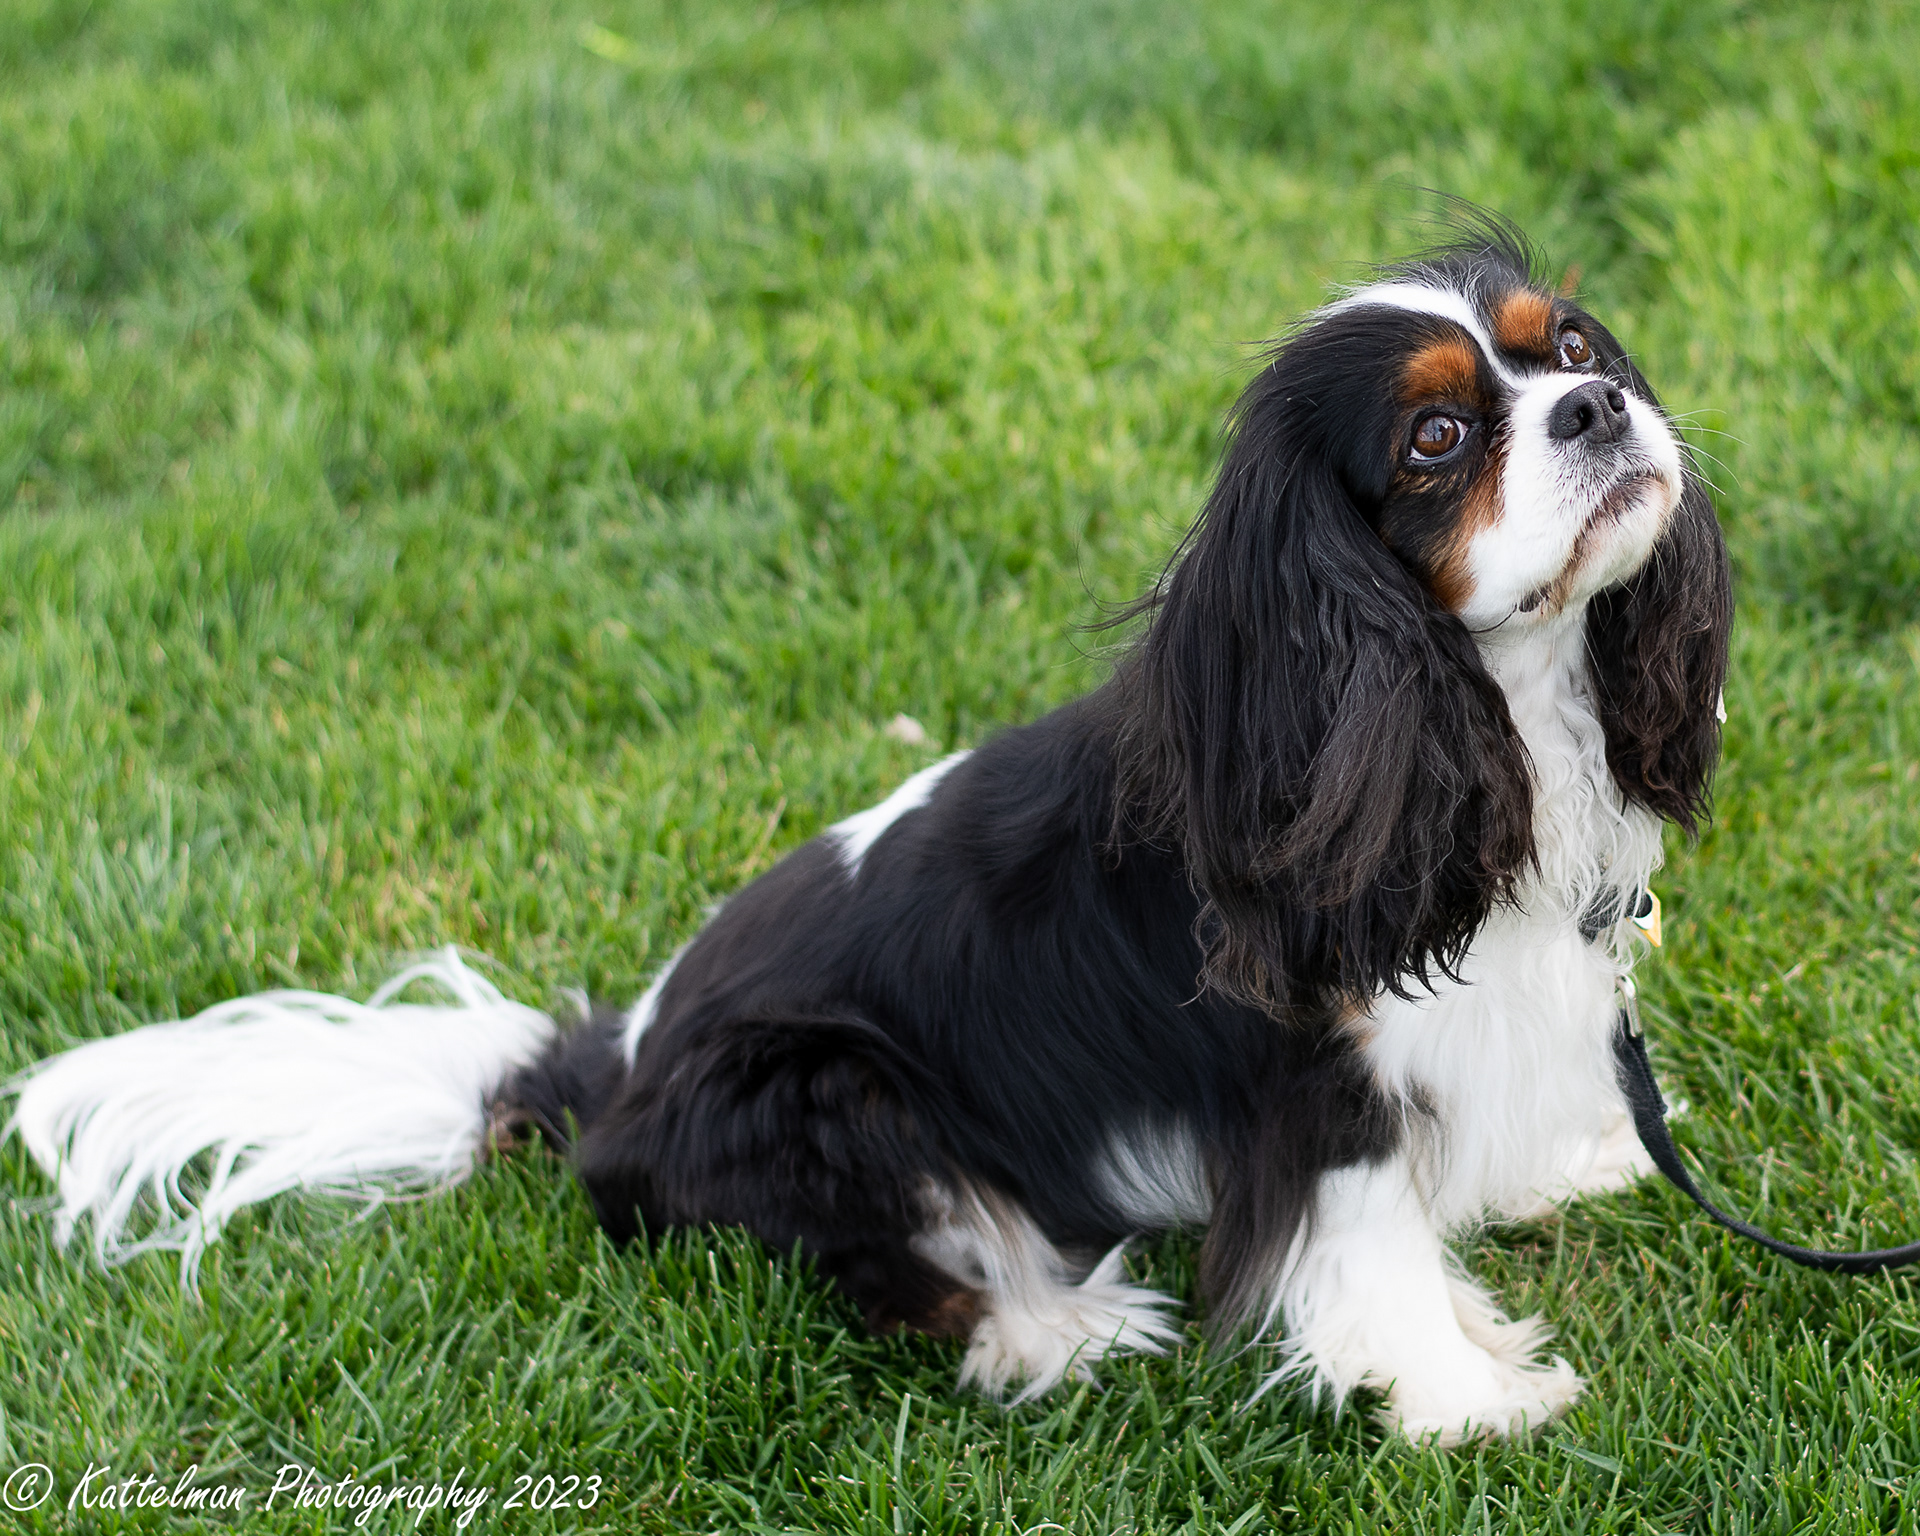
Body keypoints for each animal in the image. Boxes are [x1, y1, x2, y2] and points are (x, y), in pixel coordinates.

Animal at [8, 225, 1730, 1445]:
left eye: (1575, 347)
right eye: (1438, 443)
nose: (1600, 405)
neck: (1491, 709)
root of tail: (607, 1078)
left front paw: (1555, 1176)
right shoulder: (1312, 1078)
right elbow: (1368, 1243)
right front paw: (1466, 1397)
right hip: (836, 1089)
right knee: (899, 1283)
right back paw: (1058, 1329)